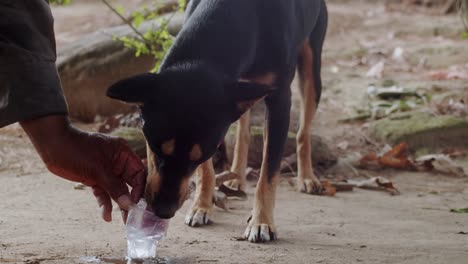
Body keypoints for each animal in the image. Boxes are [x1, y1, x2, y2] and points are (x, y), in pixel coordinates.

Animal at [108, 0, 328, 243]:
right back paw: (236, 177)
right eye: (155, 148)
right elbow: (207, 171)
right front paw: (201, 206)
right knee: (243, 130)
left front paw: (261, 221)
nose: (163, 211)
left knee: (303, 130)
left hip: (311, 67)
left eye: (196, 158)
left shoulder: (279, 100)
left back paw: (306, 177)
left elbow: (268, 172)